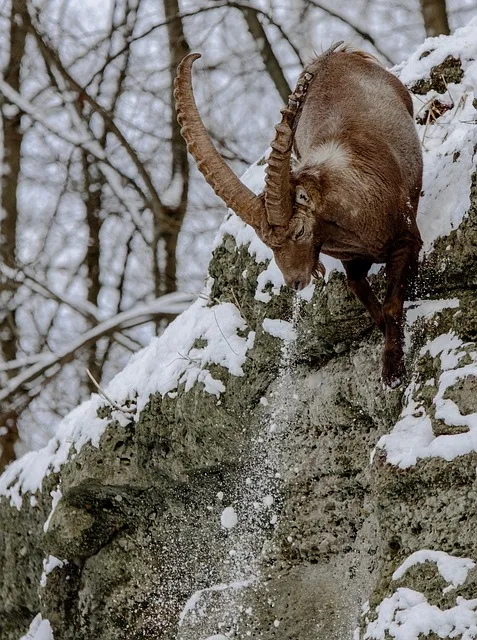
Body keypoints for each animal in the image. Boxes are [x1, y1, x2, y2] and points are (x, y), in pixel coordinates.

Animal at [174, 43, 423, 388]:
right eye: (269, 244)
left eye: (300, 232)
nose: (294, 282)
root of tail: (338, 55)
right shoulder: (352, 261)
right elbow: (365, 298)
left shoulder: (406, 239)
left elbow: (391, 305)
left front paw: (393, 371)